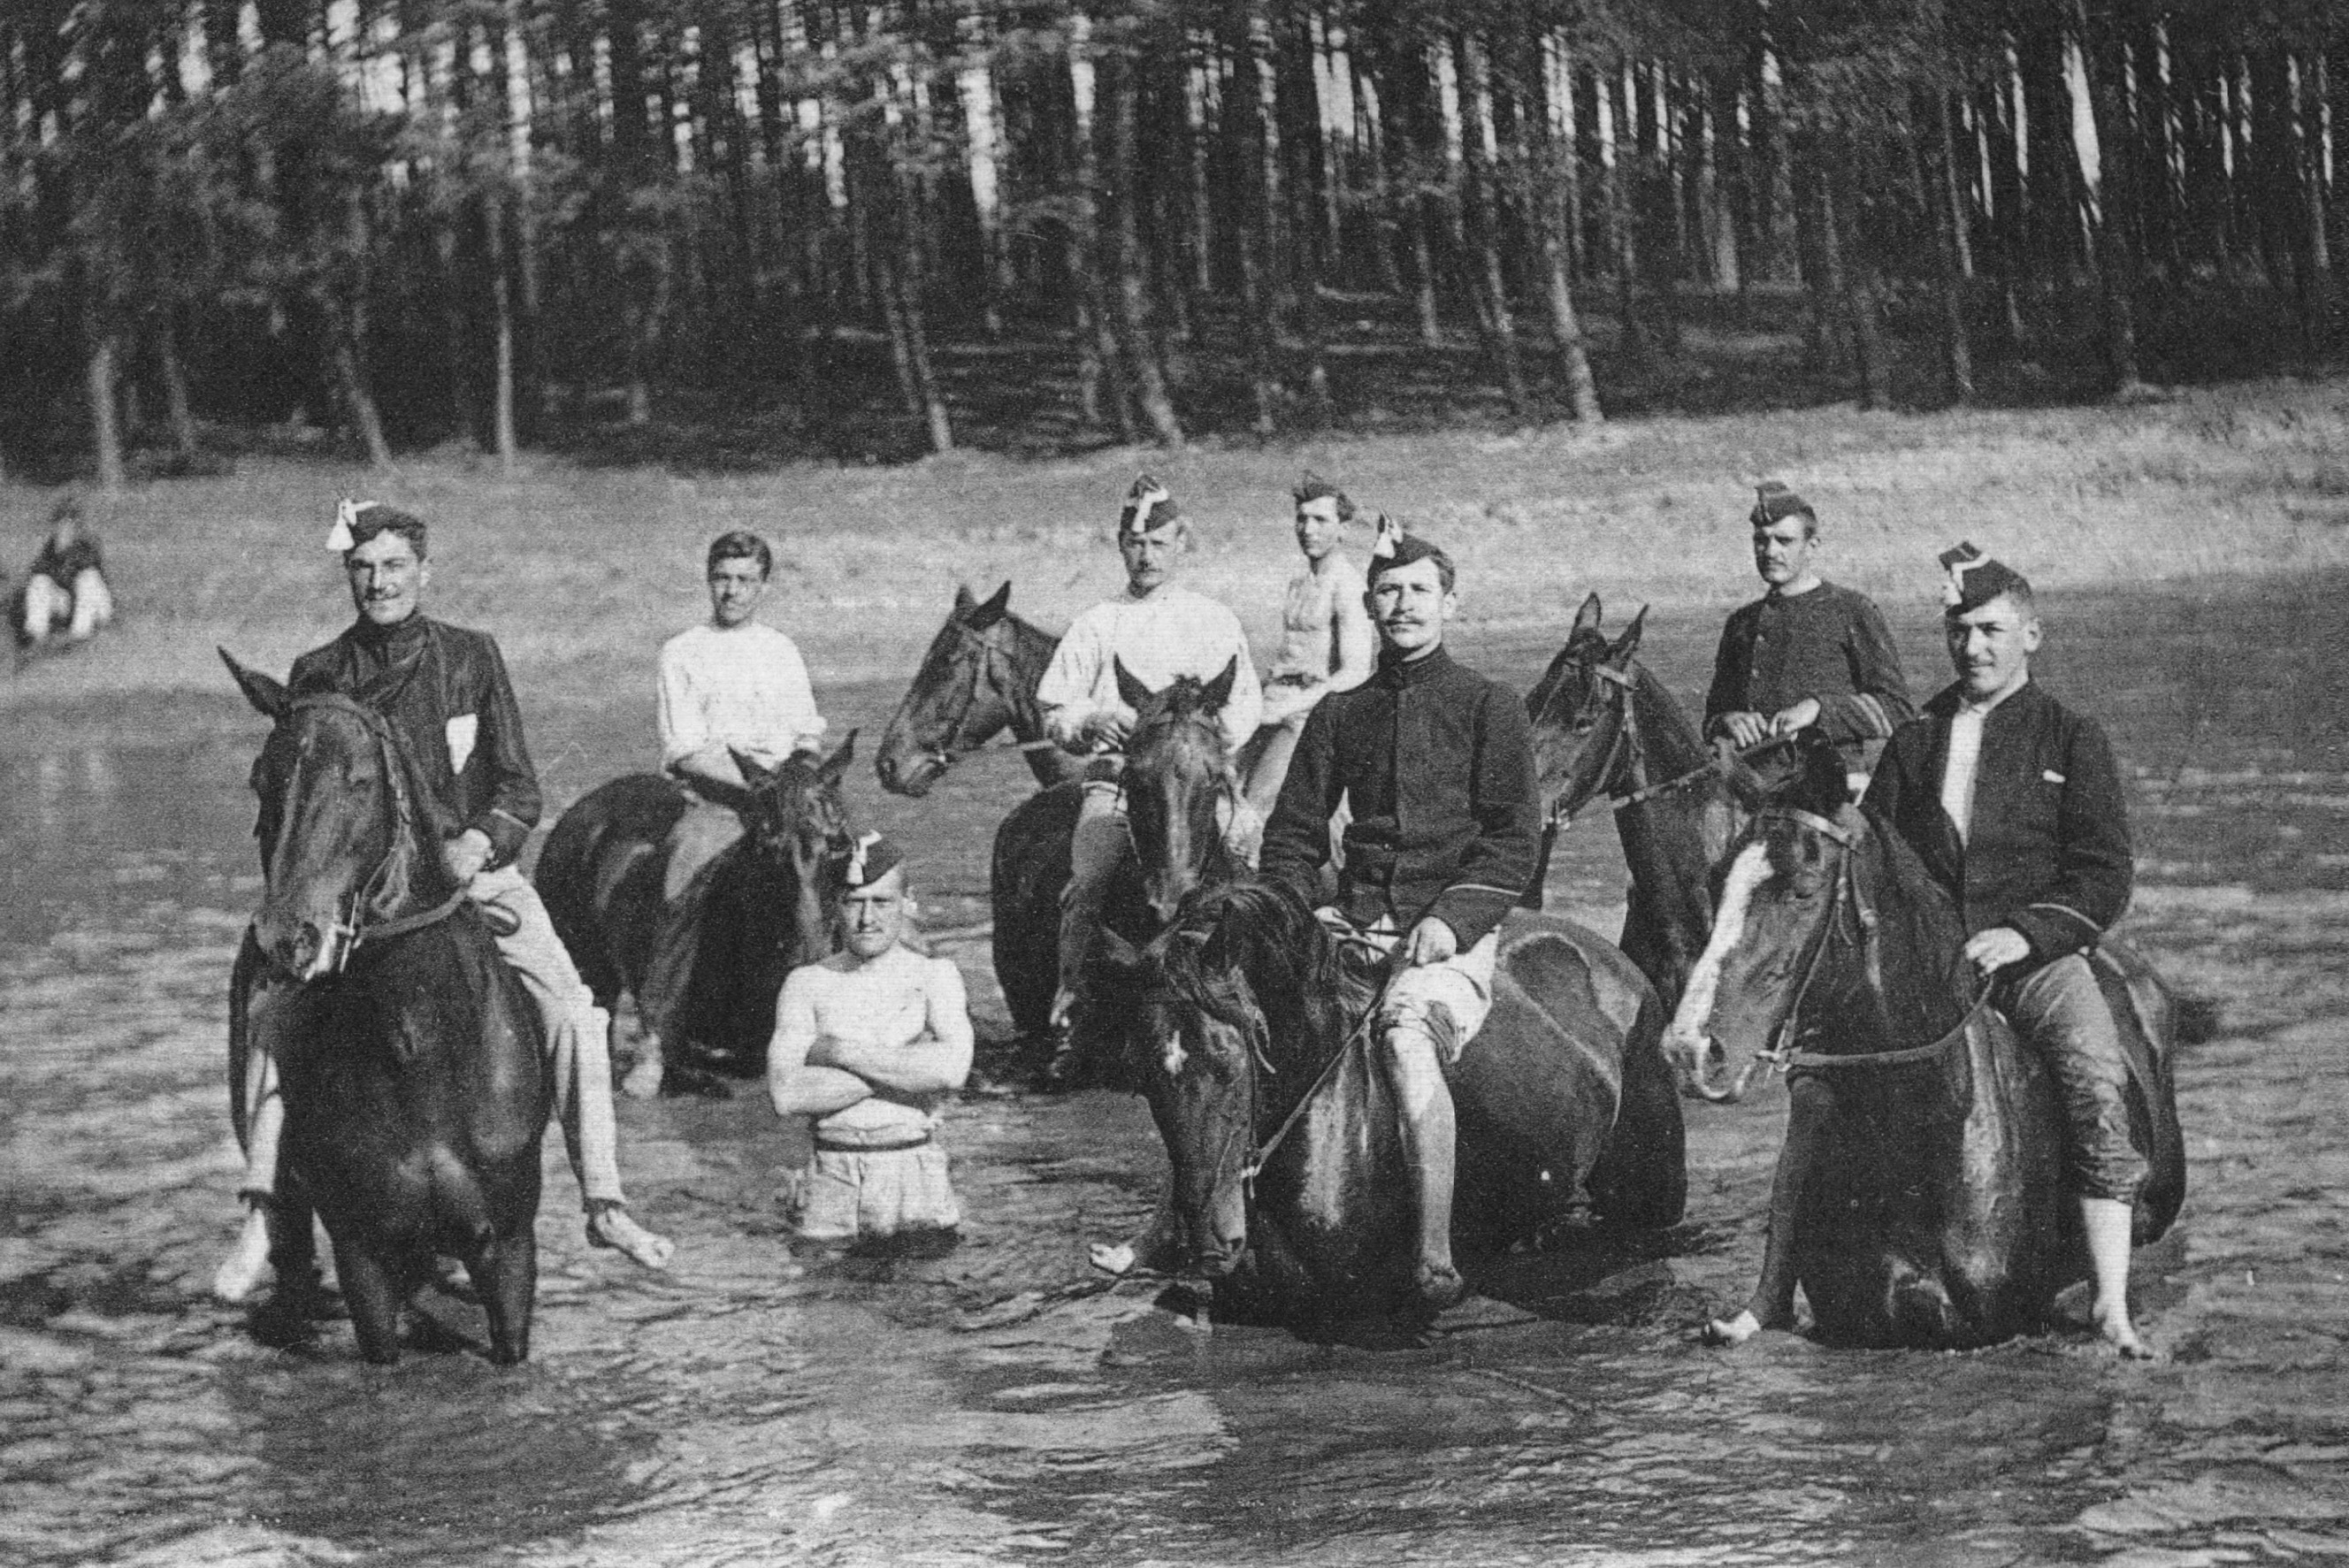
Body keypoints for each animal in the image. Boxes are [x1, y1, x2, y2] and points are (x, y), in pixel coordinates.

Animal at [219, 647, 549, 1361]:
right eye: (261, 779)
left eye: (362, 778)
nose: (287, 935)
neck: (417, 1045)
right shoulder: (364, 1255)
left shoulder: (510, 1247)